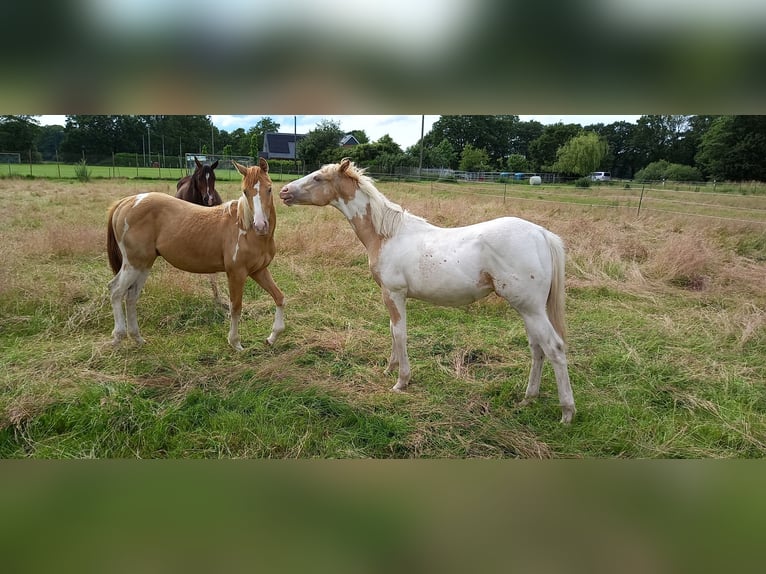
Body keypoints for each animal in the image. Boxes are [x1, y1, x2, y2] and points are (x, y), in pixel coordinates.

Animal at [279, 158, 575, 423]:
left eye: (318, 178)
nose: (283, 192)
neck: (387, 235)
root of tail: (541, 234)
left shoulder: (394, 294)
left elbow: (399, 333)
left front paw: (401, 381)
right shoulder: (390, 296)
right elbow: (392, 330)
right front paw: (389, 369)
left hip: (530, 309)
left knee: (554, 348)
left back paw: (566, 412)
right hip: (528, 310)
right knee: (537, 348)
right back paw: (528, 398)